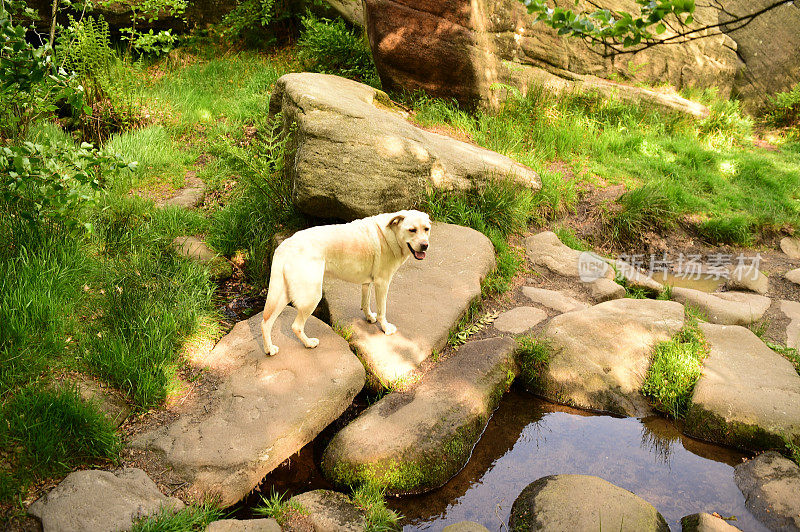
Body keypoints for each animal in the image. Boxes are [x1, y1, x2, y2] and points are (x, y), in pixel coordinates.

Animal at [260, 210, 432, 356]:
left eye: (426, 229)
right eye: (412, 230)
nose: (425, 245)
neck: (391, 235)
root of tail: (285, 245)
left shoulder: (368, 283)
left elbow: (365, 303)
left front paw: (369, 318)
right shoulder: (382, 283)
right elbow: (382, 311)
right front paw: (386, 328)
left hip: (283, 295)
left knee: (265, 322)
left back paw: (269, 350)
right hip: (311, 296)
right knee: (296, 326)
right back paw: (309, 343)